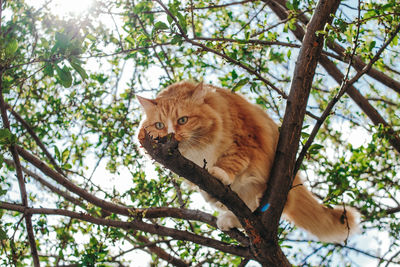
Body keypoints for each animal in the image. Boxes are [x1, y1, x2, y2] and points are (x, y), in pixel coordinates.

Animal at [137, 80, 360, 244]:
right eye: (159, 125)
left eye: (182, 120)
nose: (170, 136)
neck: (198, 151)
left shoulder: (244, 140)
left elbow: (231, 161)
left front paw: (219, 173)